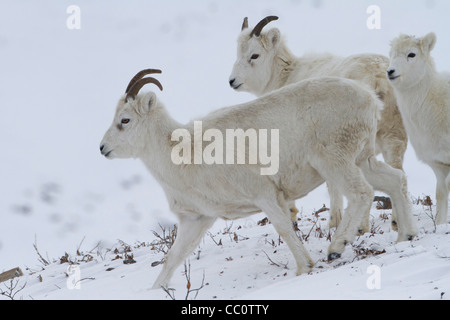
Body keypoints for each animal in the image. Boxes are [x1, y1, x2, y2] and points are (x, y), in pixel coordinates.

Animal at [100, 69, 416, 288]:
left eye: (125, 120)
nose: (103, 148)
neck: (183, 152)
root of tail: (369, 97)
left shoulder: (265, 195)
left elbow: (284, 229)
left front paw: (304, 268)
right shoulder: (197, 220)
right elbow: (172, 259)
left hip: (335, 162)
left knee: (361, 193)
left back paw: (336, 249)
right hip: (363, 159)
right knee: (395, 180)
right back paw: (406, 236)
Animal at [230, 16, 410, 231]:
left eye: (254, 55)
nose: (232, 81)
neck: (286, 75)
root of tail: (378, 79)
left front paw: (331, 222)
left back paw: (361, 228)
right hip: (393, 137)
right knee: (398, 172)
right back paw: (396, 224)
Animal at [388, 31, 448, 224]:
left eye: (411, 54)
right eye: (392, 54)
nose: (390, 72)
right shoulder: (438, 163)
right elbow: (441, 193)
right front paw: (440, 224)